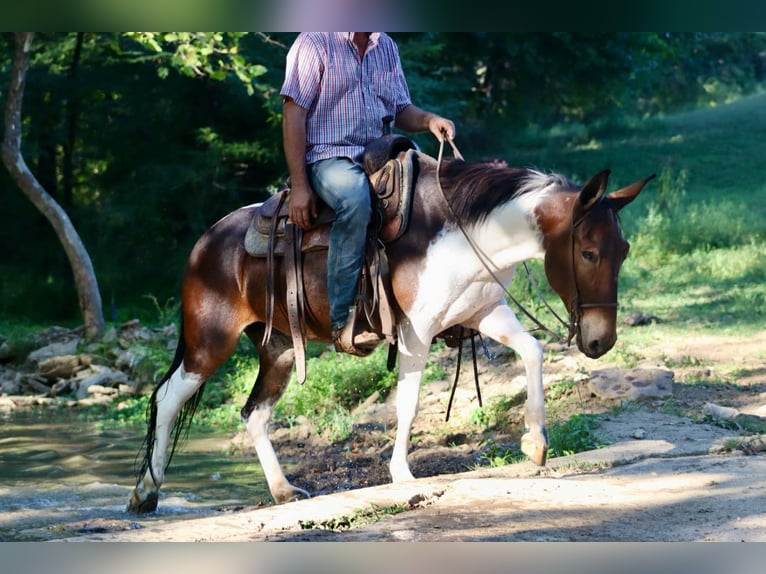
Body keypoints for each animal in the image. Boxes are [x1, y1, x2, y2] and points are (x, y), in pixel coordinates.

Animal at [127, 149, 653, 513]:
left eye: (625, 249)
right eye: (588, 252)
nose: (600, 341)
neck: (468, 233)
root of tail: (205, 241)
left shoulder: (483, 312)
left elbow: (533, 351)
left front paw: (536, 442)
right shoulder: (416, 331)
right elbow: (409, 401)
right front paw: (401, 473)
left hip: (277, 348)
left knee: (253, 413)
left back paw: (283, 490)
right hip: (210, 342)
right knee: (168, 399)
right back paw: (145, 493)